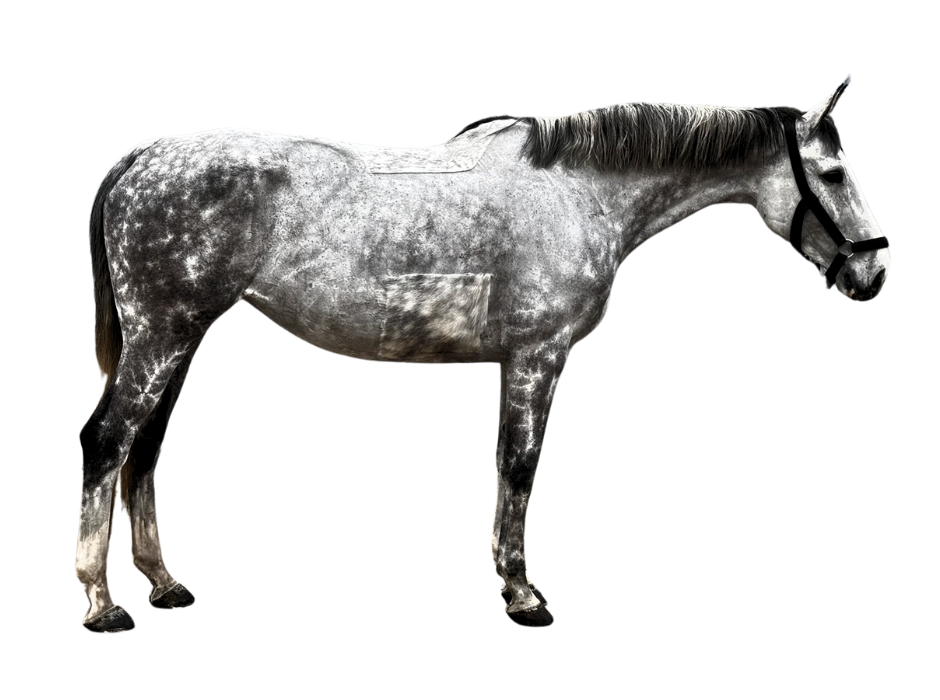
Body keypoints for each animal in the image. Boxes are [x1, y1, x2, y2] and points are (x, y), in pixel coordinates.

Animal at [76, 72, 890, 632]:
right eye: (833, 173)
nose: (877, 271)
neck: (578, 191)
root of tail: (144, 158)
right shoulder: (540, 356)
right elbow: (522, 466)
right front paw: (525, 594)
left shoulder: (514, 362)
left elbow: (506, 466)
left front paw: (508, 578)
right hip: (162, 334)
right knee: (110, 442)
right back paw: (103, 602)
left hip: (182, 338)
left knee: (147, 448)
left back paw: (165, 586)